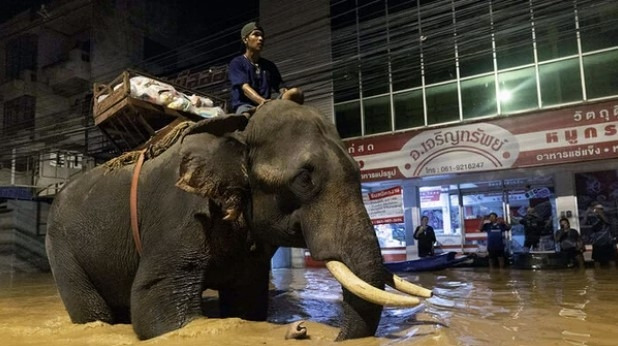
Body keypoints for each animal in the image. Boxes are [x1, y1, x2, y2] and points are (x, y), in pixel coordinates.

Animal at [45, 99, 430, 340]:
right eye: (304, 178)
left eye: (359, 172)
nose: (306, 330)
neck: (239, 129)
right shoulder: (179, 214)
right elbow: (158, 308)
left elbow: (246, 302)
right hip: (61, 247)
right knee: (92, 310)